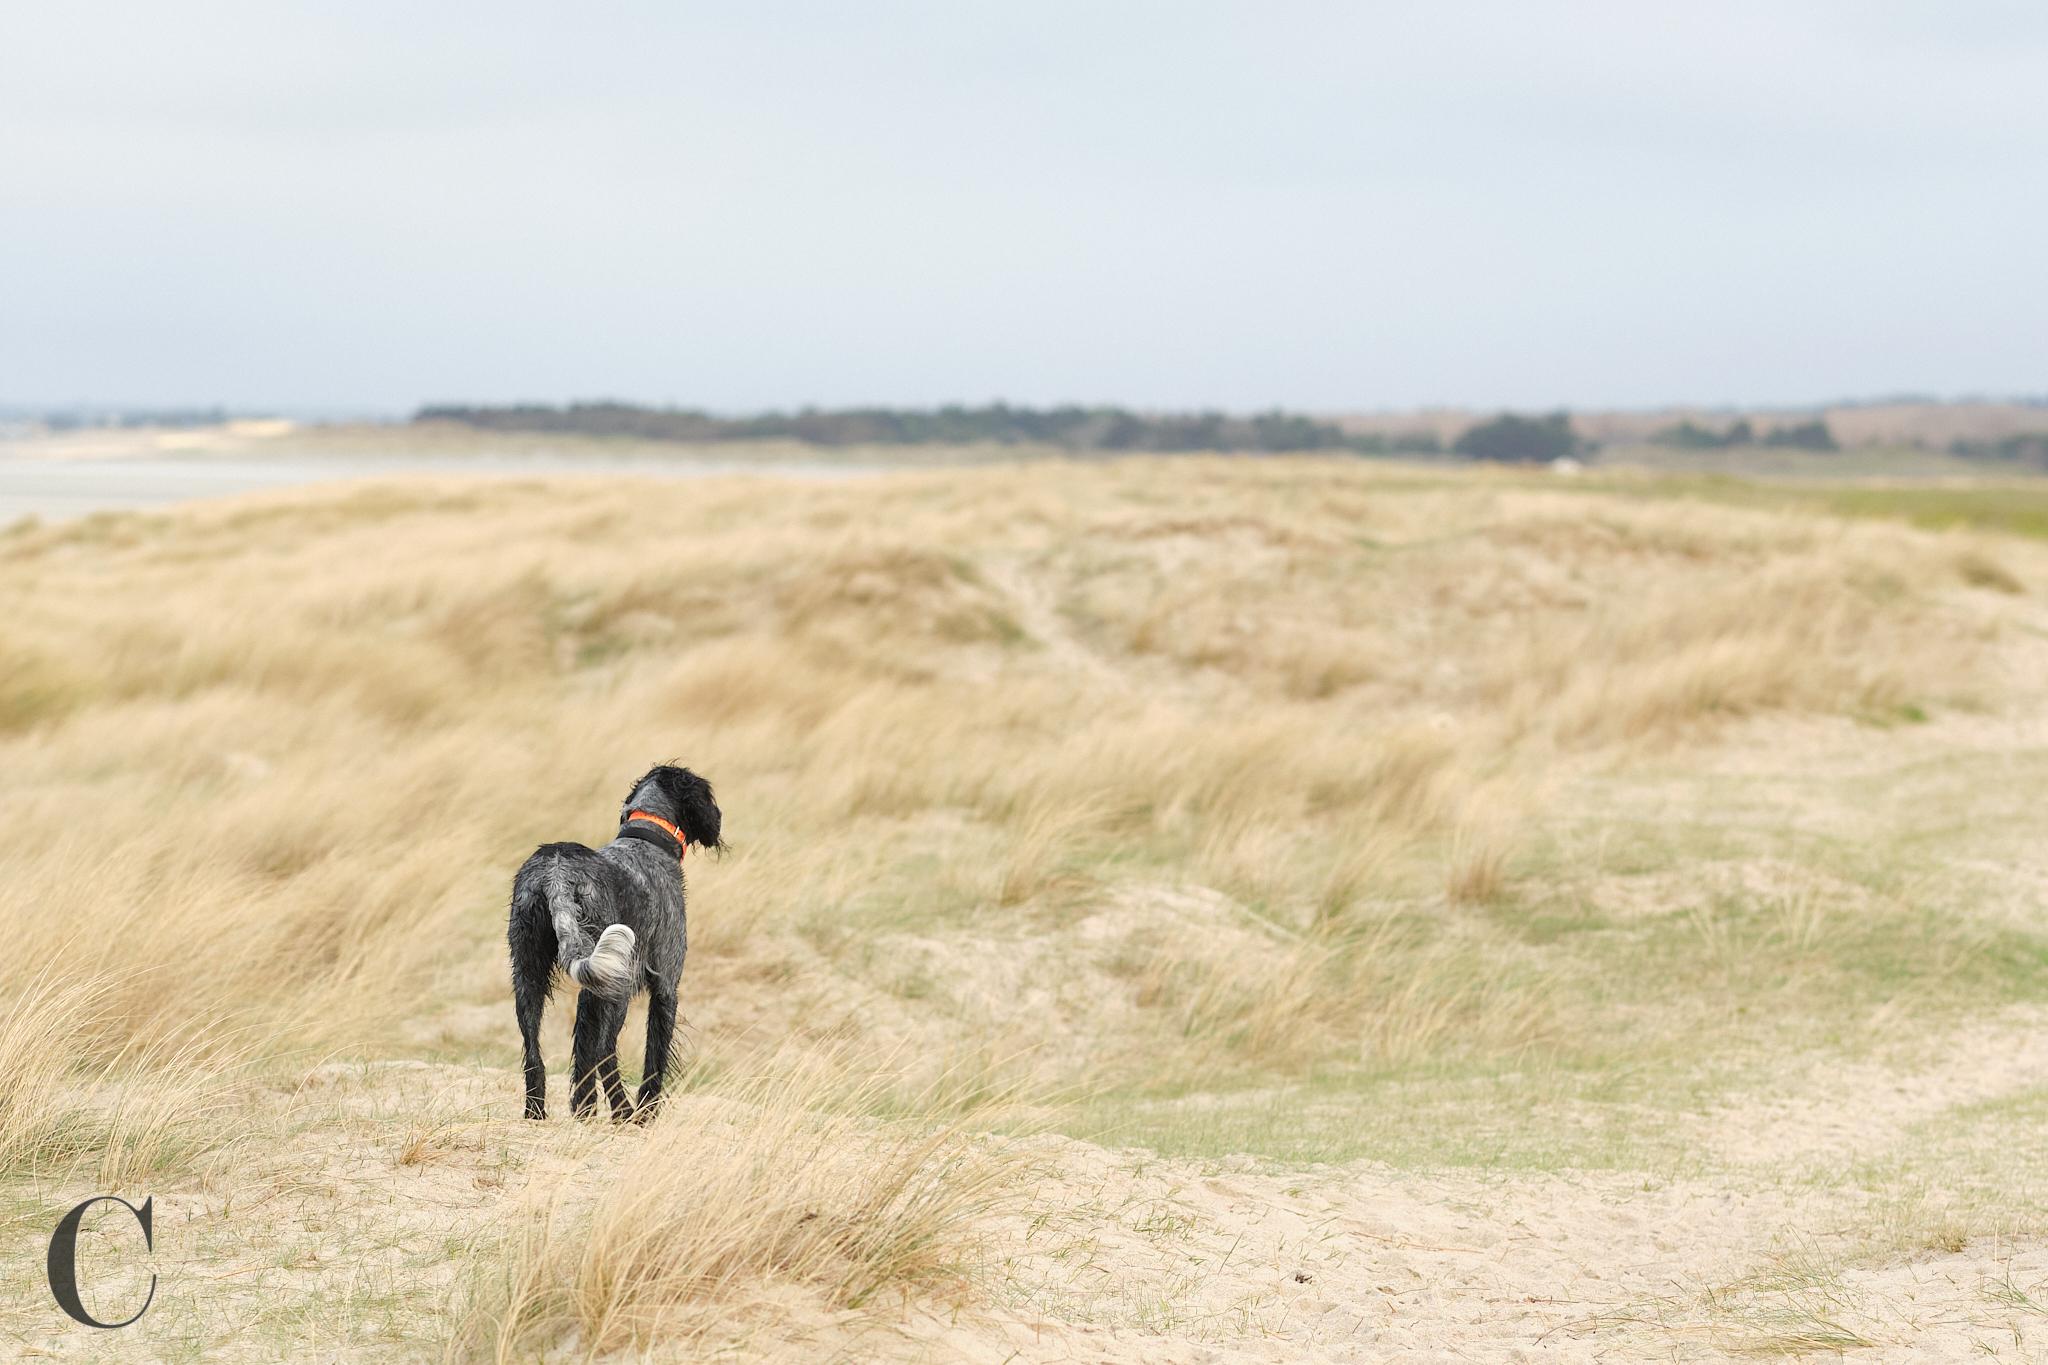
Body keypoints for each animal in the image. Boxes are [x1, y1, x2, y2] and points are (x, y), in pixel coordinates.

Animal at [507, 769, 724, 1121]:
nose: (719, 817)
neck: (647, 839)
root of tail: (556, 874)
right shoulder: (666, 988)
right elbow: (653, 1061)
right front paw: (646, 1115)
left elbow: (589, 1054)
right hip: (614, 984)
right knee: (601, 1051)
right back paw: (615, 1110)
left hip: (530, 976)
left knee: (535, 1055)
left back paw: (537, 1113)